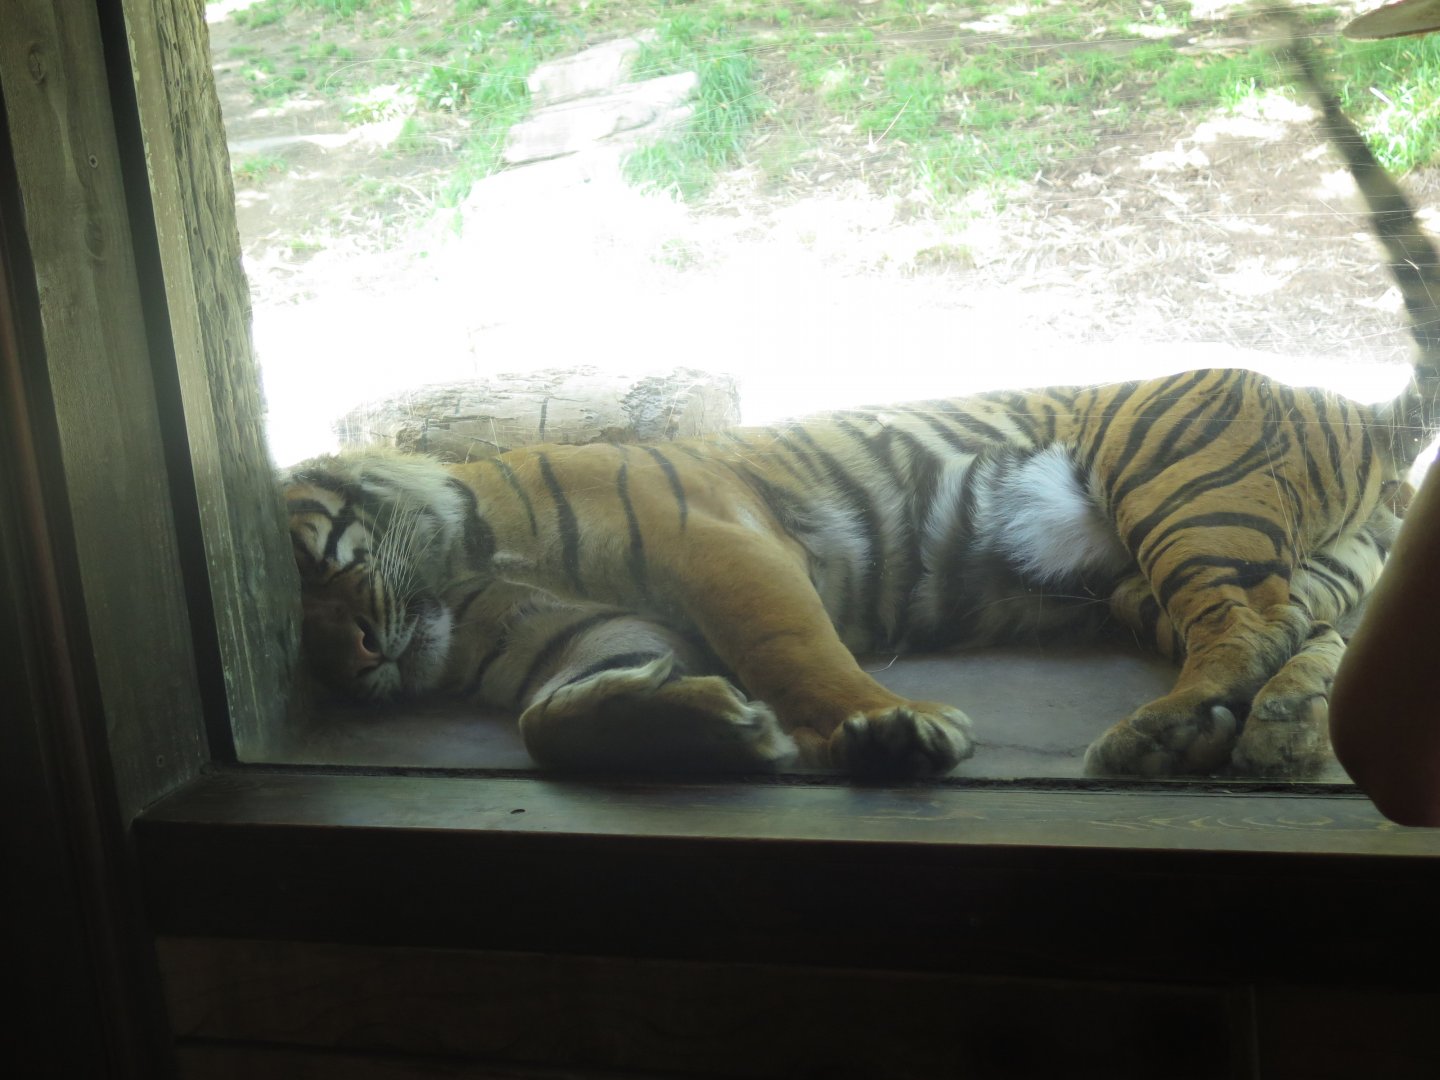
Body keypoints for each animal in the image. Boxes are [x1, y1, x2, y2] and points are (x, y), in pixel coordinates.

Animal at [283, 33, 1440, 779]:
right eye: (299, 638)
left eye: (326, 564)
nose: (357, 660)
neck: (459, 581)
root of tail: (1352, 409)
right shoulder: (597, 636)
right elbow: (550, 722)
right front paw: (715, 728)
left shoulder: (718, 542)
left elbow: (793, 650)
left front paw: (886, 729)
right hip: (1194, 573)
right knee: (1300, 631)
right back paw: (1270, 727)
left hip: (1181, 492)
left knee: (1248, 626)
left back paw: (1168, 732)